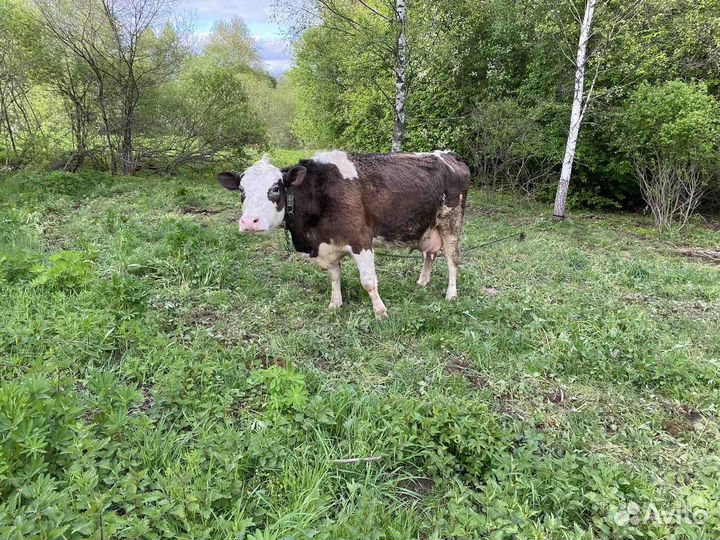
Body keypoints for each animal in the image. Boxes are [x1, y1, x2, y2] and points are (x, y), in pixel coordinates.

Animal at [218, 150, 471, 318]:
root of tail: (449, 155)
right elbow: (334, 276)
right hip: (429, 227)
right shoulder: (328, 245)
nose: (249, 222)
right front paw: (335, 304)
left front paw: (380, 311)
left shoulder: (361, 239)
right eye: (242, 190)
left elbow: (368, 281)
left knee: (453, 260)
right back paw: (422, 281)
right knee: (430, 254)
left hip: (452, 222)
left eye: (275, 188)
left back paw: (451, 294)